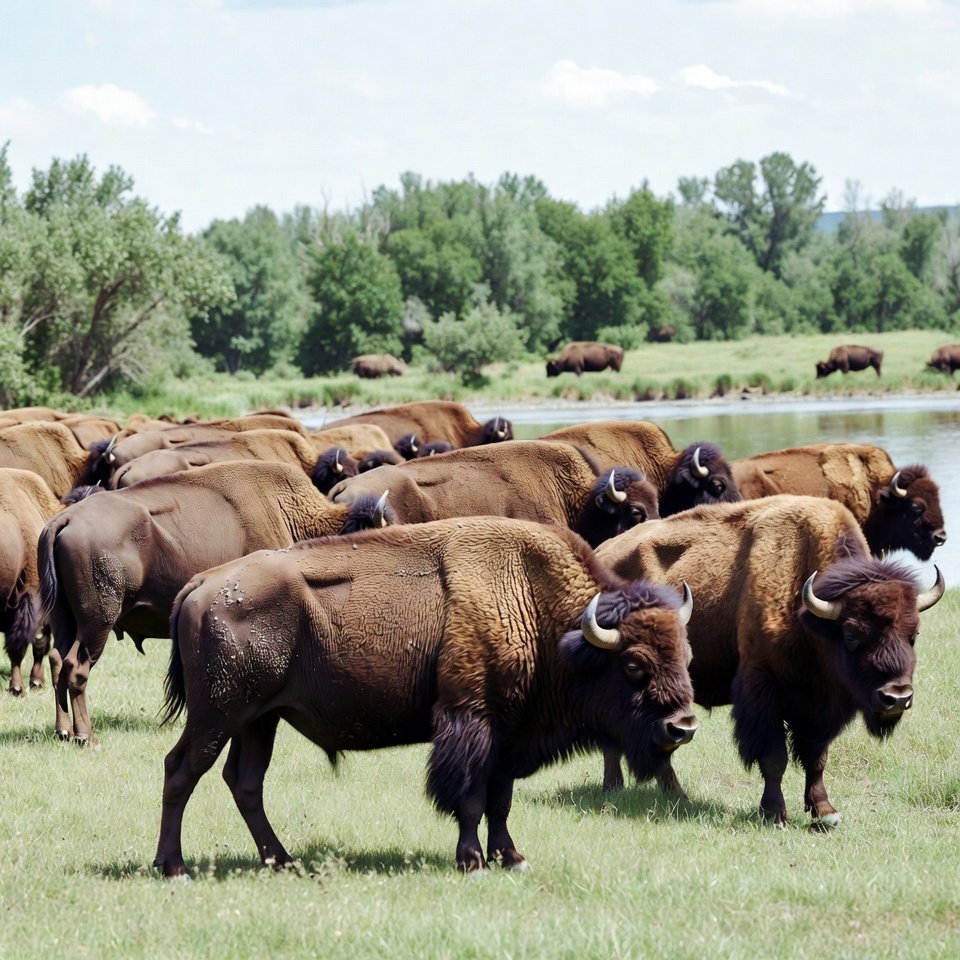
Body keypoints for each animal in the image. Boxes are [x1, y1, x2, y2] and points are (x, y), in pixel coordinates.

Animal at [153, 517, 697, 876]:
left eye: (685, 654)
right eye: (633, 665)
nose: (683, 726)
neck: (532, 602)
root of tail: (203, 584)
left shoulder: (509, 735)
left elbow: (500, 801)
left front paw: (512, 857)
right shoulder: (472, 720)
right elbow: (471, 799)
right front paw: (473, 861)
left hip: (258, 719)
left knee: (245, 782)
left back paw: (282, 861)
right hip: (219, 715)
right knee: (182, 770)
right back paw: (173, 866)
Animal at [596, 495, 945, 823]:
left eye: (914, 634)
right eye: (851, 634)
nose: (896, 697)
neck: (810, 614)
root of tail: (602, 552)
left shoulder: (818, 708)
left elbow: (816, 758)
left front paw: (824, 812)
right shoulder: (764, 694)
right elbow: (774, 759)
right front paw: (775, 813)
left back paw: (667, 794)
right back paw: (627, 789)